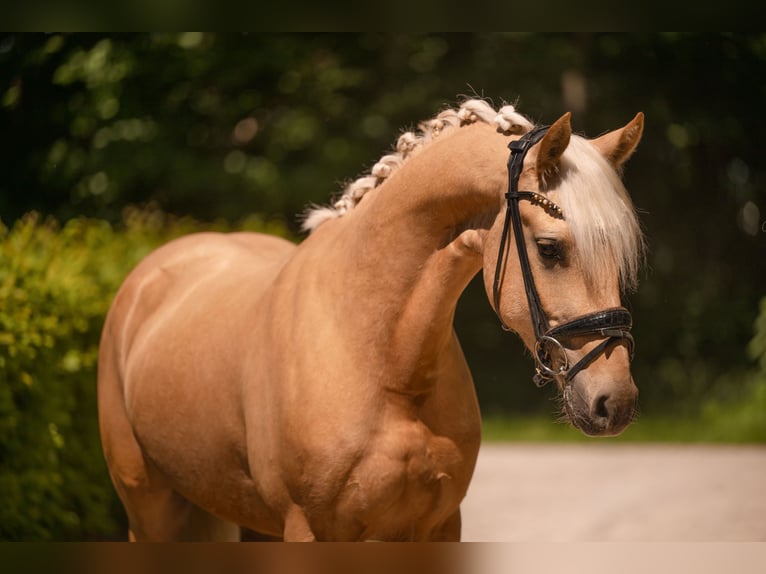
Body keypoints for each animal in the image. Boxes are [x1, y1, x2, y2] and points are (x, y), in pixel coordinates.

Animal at [97, 99, 645, 541]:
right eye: (549, 249)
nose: (614, 401)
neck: (379, 359)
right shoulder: (309, 530)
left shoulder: (437, 526)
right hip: (149, 507)